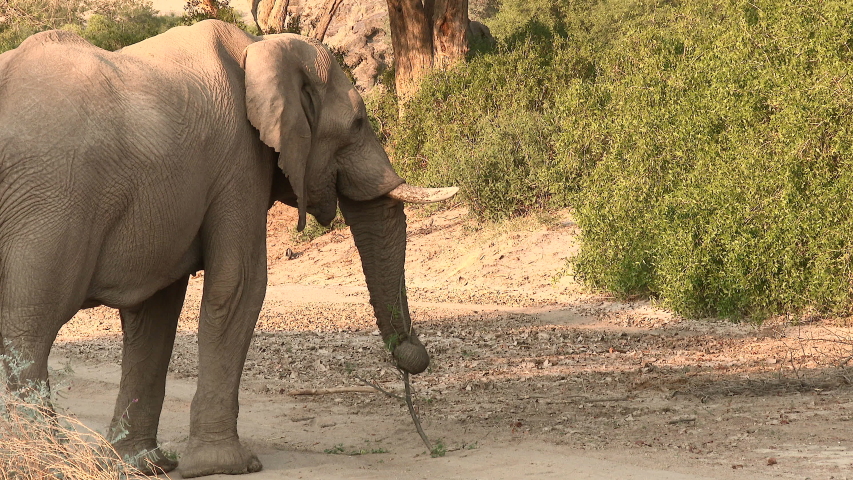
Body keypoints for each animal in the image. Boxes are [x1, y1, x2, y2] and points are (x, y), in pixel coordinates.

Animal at [0, 18, 452, 476]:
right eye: (358, 122)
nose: (412, 355)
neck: (260, 47)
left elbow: (156, 313)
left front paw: (146, 465)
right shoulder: (239, 159)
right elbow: (240, 284)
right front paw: (229, 465)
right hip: (51, 202)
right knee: (29, 328)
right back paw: (45, 466)